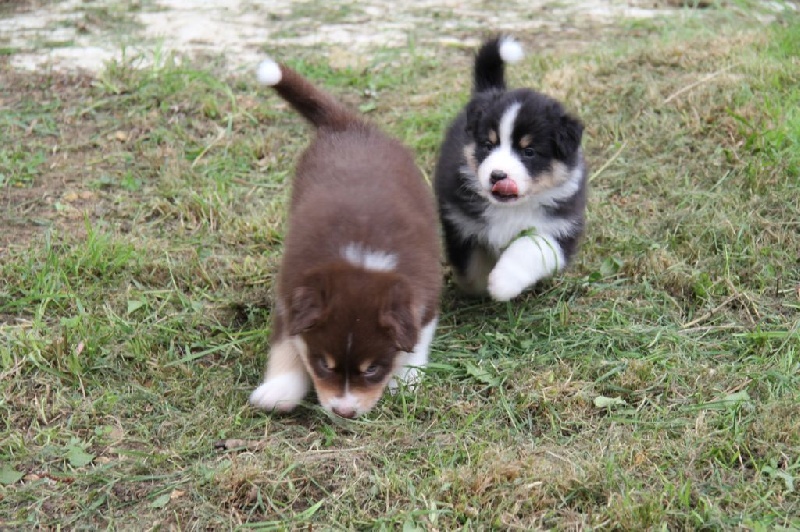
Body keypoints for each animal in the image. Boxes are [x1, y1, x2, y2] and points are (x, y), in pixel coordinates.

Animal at [248, 56, 442, 418]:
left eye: (372, 369)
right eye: (324, 364)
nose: (344, 412)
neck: (360, 260)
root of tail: (348, 125)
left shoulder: (425, 293)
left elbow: (417, 339)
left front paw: (406, 377)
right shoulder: (290, 292)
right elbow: (286, 343)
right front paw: (279, 390)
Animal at [434, 36, 587, 301]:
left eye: (529, 151)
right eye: (488, 145)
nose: (498, 175)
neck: (509, 209)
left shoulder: (560, 227)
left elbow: (531, 247)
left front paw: (502, 283)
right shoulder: (460, 221)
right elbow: (471, 269)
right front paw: (480, 286)